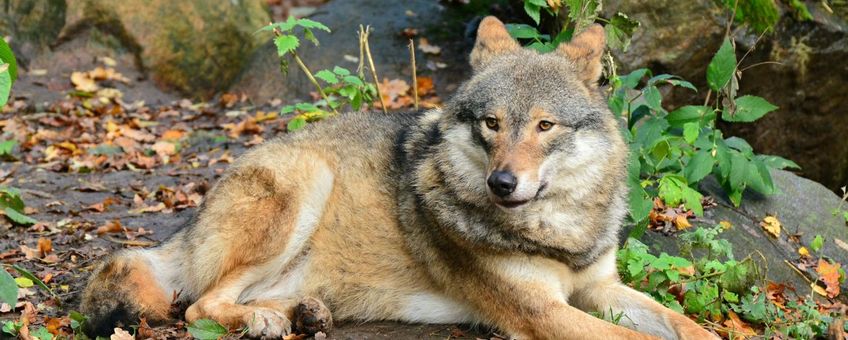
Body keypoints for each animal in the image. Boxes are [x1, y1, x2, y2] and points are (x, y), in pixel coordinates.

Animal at [79, 16, 716, 340]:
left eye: (544, 125)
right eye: (491, 124)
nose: (502, 184)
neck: (557, 230)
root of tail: (186, 227)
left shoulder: (598, 288)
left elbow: (686, 325)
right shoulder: (543, 312)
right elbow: (637, 339)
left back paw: (303, 313)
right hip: (307, 183)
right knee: (199, 305)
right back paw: (265, 321)